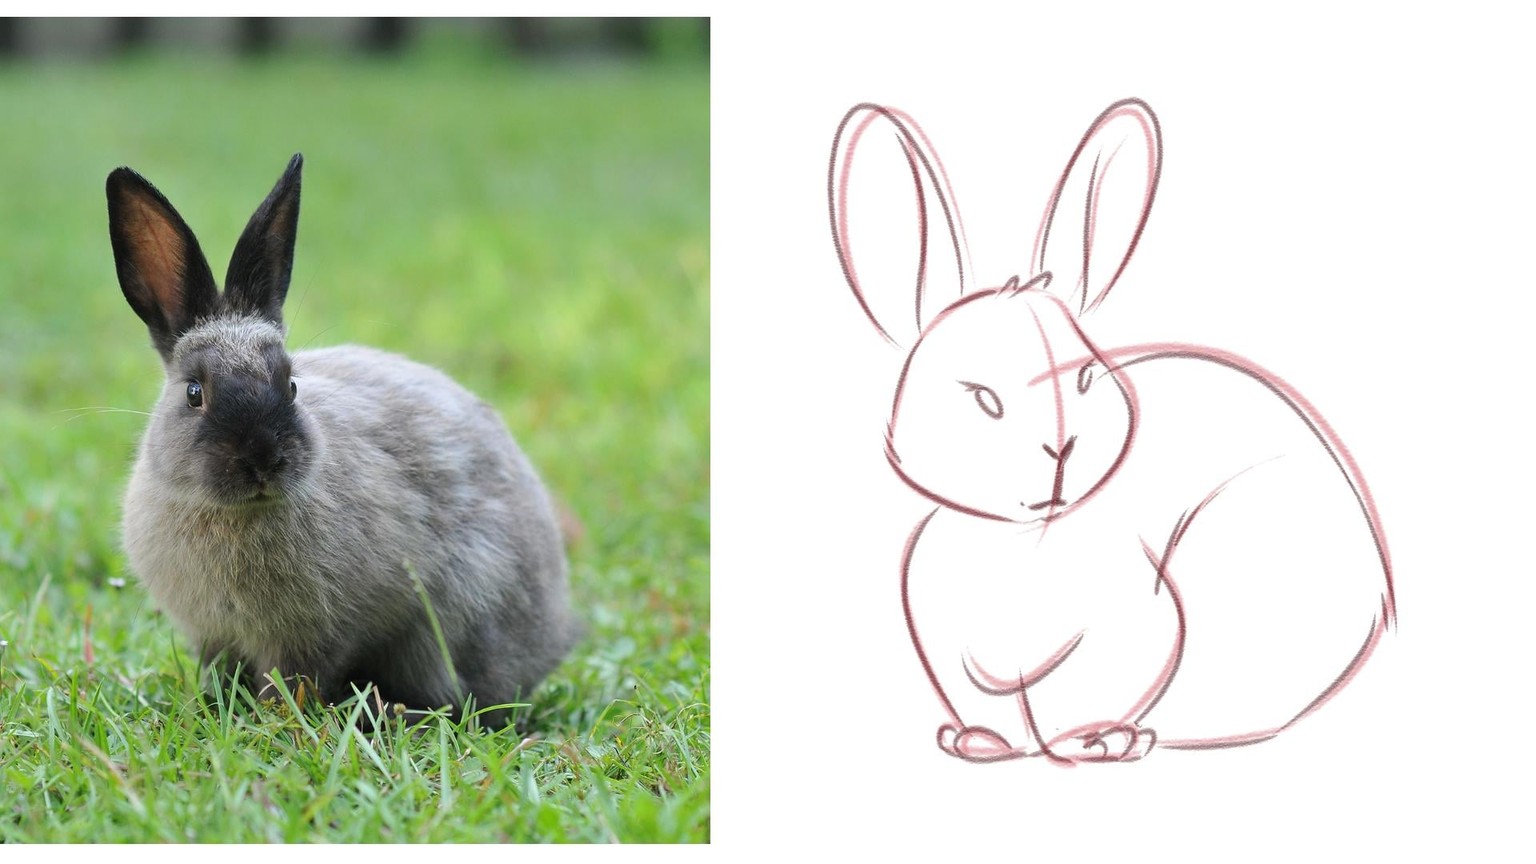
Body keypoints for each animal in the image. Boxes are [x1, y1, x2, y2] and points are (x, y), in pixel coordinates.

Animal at [107, 153, 580, 730]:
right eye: (194, 393)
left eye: (291, 385)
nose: (263, 459)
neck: (238, 514)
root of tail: (553, 638)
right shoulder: (215, 636)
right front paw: (218, 707)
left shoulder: (316, 637)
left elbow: (291, 681)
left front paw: (275, 720)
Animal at [828, 99, 1396, 764]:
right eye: (982, 398)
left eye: (1085, 378)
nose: (1060, 451)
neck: (1022, 541)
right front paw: (981, 742)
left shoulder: (1135, 626)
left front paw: (1084, 743)